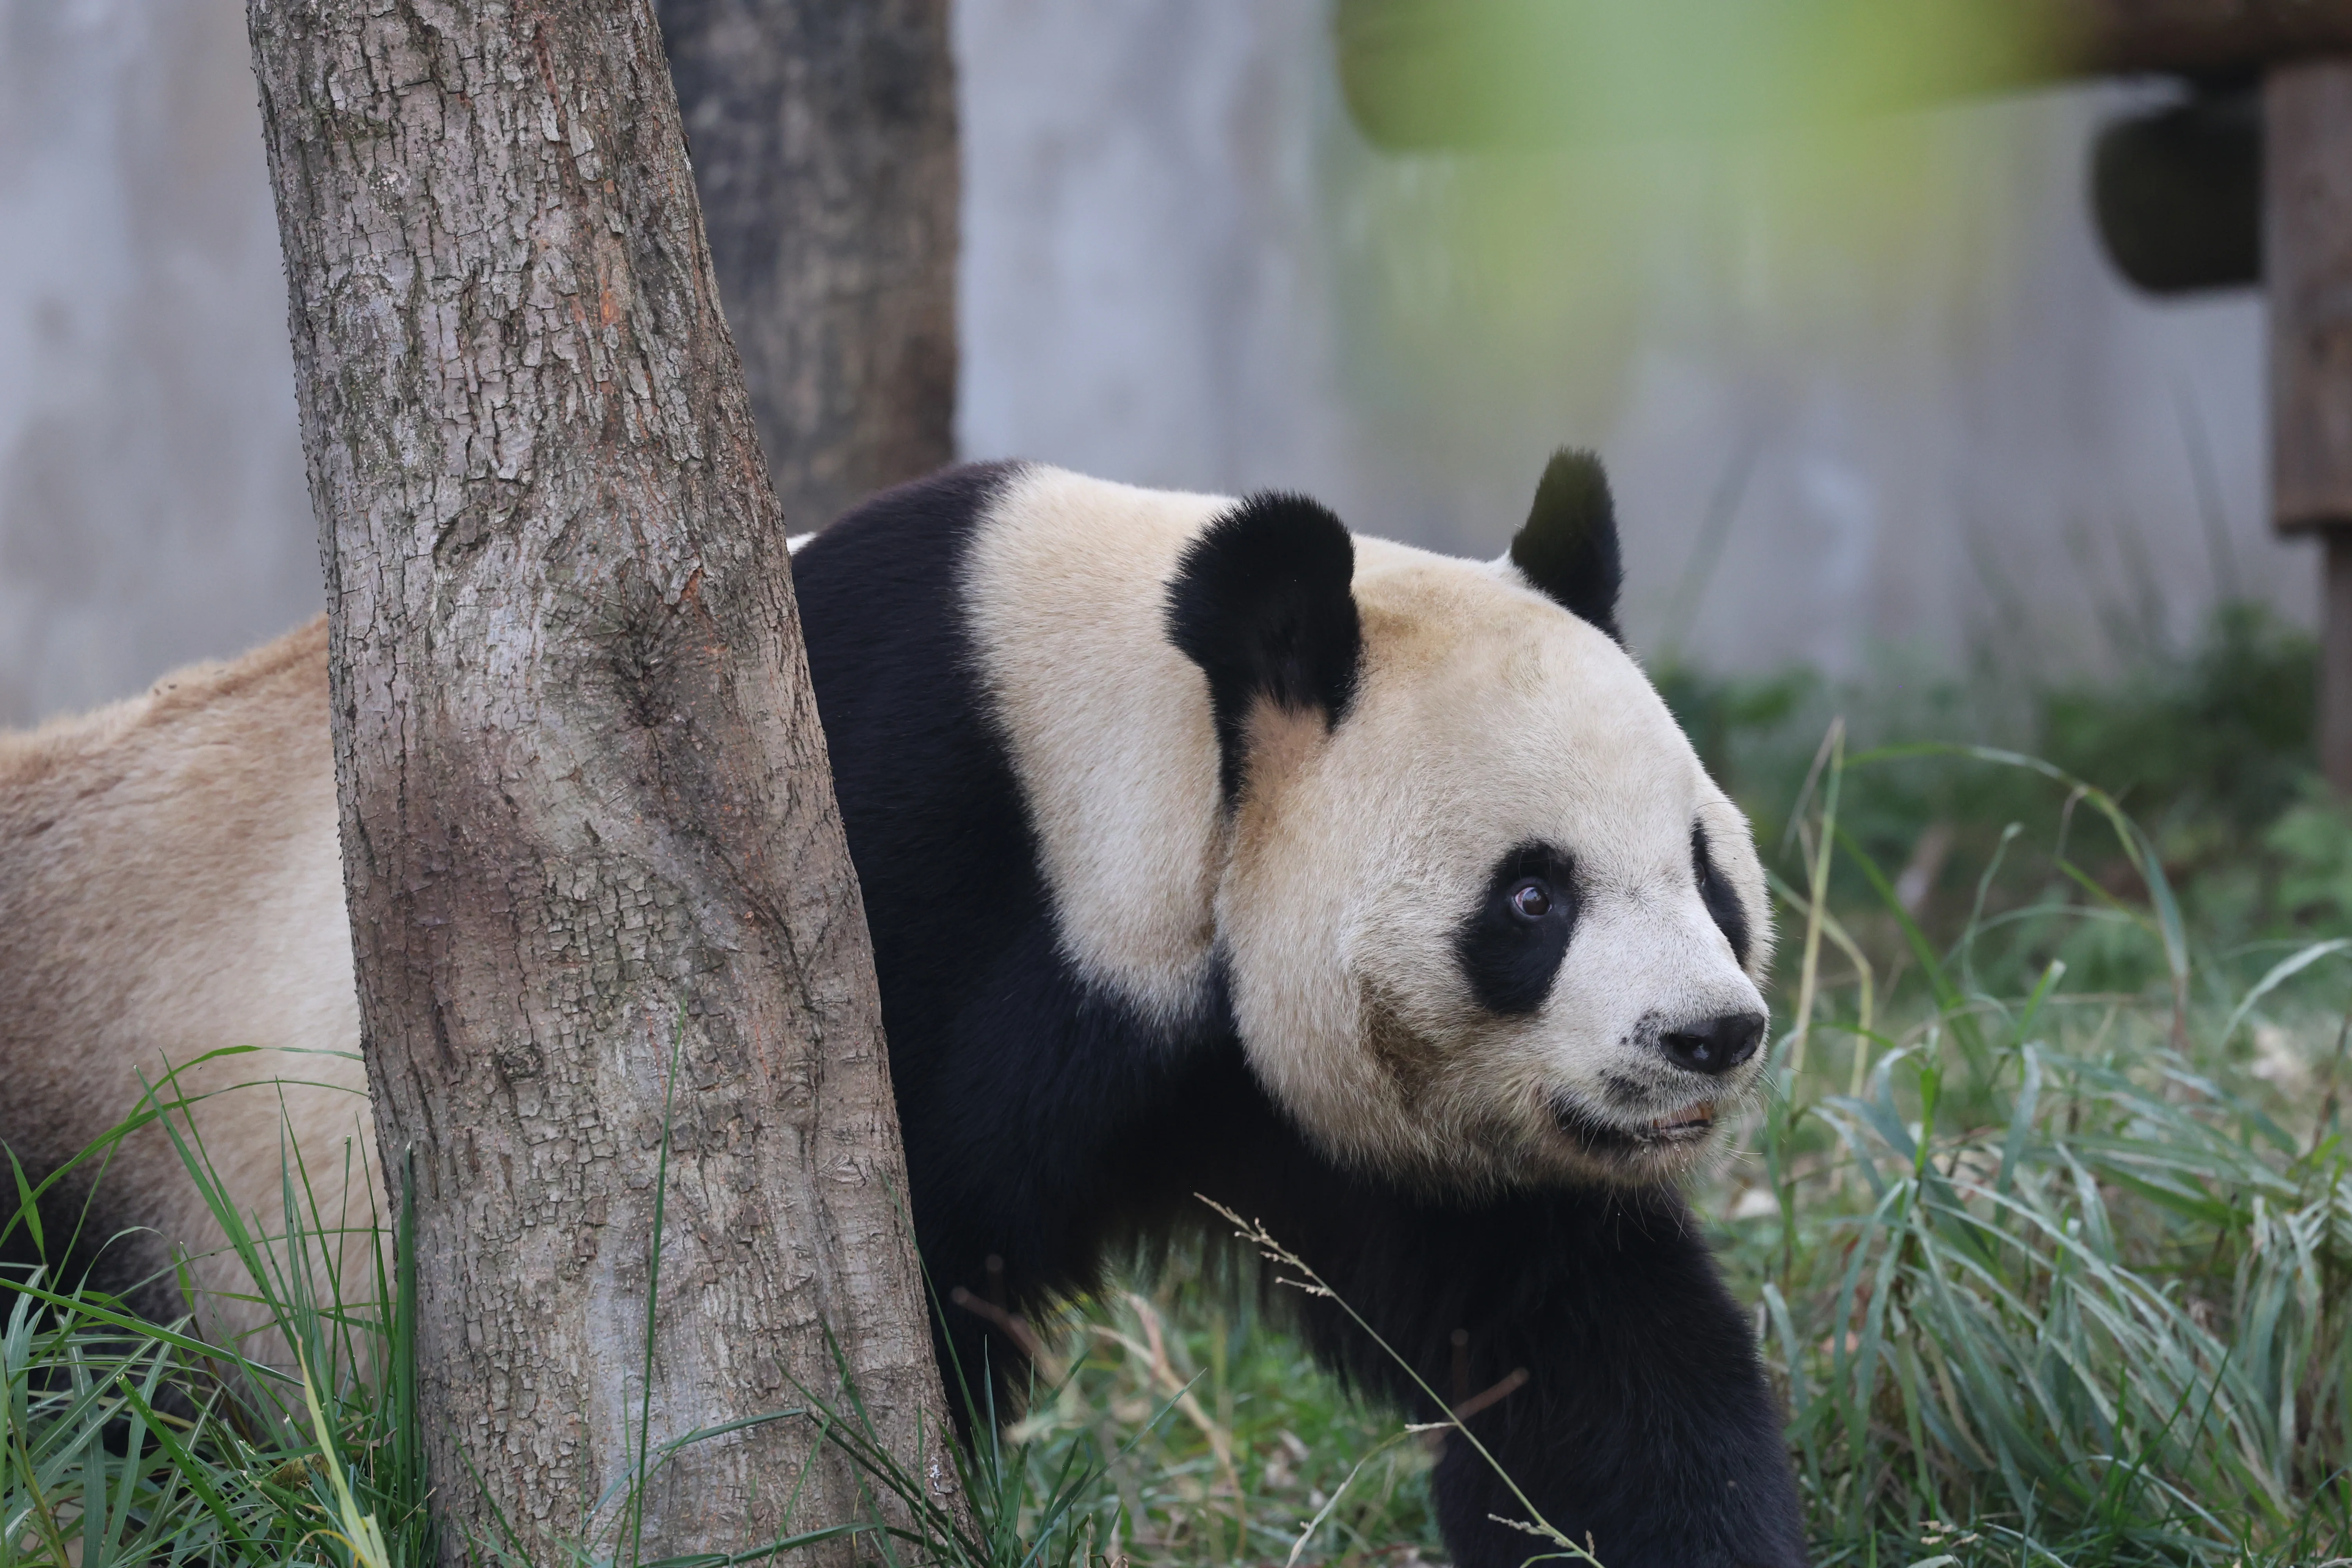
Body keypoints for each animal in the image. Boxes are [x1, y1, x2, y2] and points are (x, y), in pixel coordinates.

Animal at [0, 450, 1805, 1568]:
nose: (1706, 1037)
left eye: (1706, 868)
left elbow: (1565, 1342)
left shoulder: (1316, 1098)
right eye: (1532, 897)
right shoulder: (868, 868)